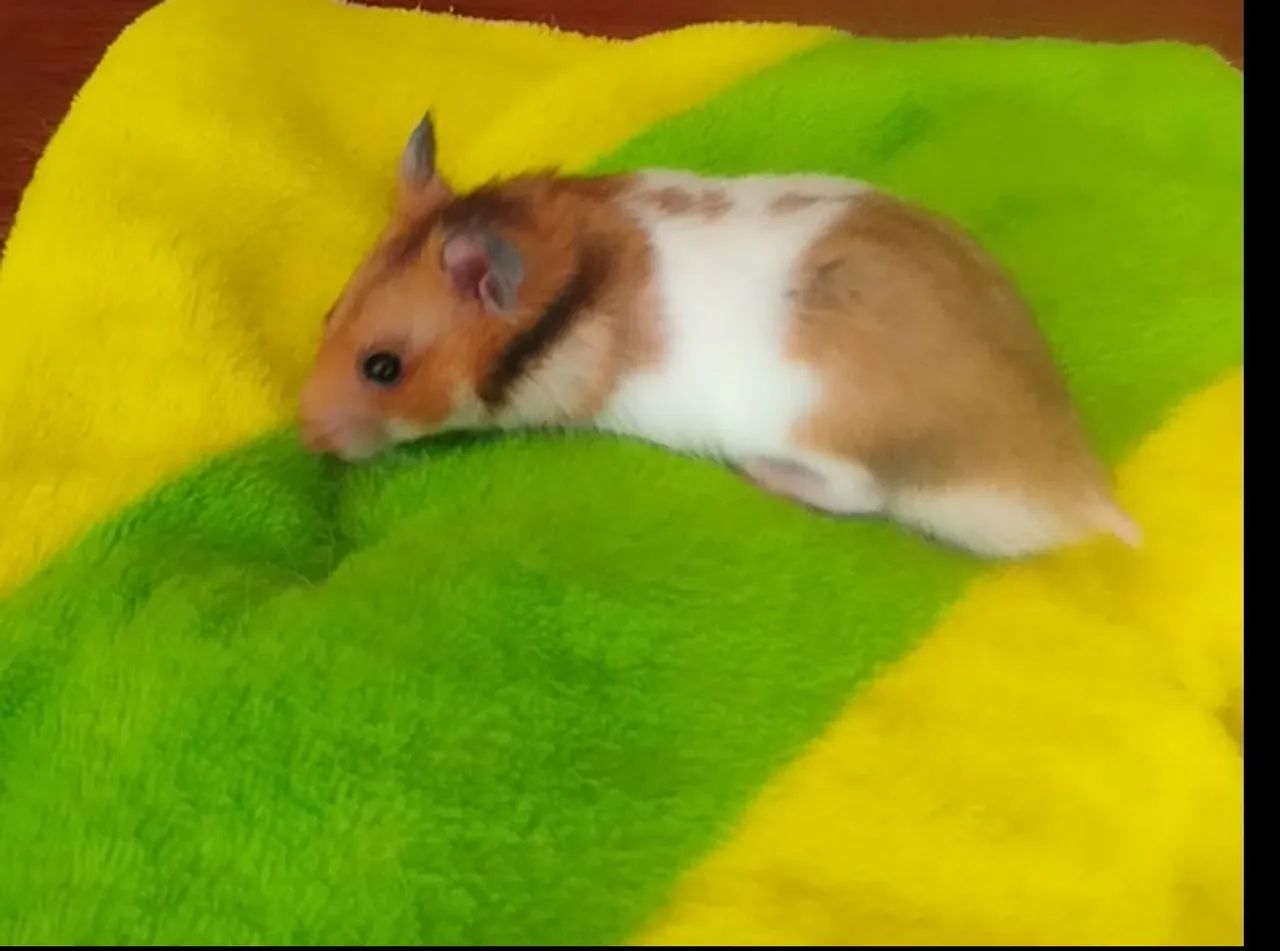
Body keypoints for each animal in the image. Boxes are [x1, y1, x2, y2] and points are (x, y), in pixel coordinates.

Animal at [299, 112, 1139, 558]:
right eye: (328, 312)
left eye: (383, 367)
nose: (307, 438)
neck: (565, 284)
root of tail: (1076, 491)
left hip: (825, 433)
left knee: (856, 493)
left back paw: (755, 472)